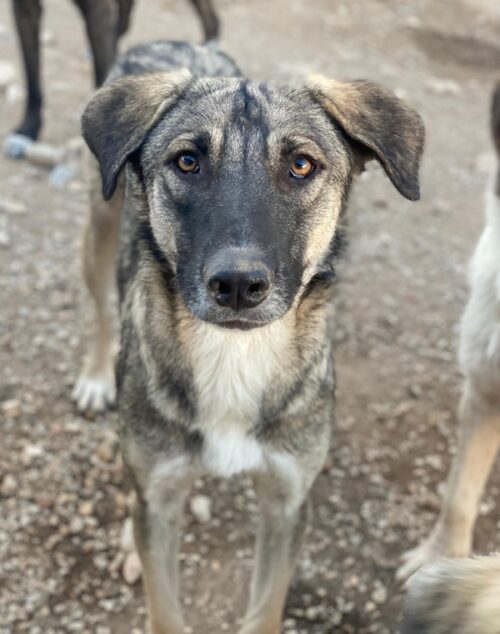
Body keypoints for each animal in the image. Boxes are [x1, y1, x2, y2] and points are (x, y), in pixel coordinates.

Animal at [77, 39, 424, 632]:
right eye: (187, 161)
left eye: (302, 165)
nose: (238, 284)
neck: (234, 354)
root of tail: (167, 41)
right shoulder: (160, 496)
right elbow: (164, 605)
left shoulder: (288, 500)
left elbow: (266, 606)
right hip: (98, 235)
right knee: (102, 313)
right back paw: (98, 378)